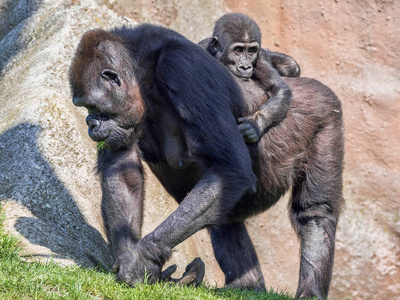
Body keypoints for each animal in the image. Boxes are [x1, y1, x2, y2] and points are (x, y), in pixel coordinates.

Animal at [69, 24, 344, 300]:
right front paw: (132, 258)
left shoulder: (183, 67)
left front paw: (141, 259)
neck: (144, 69)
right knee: (224, 217)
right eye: (85, 108)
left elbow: (229, 167)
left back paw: (310, 289)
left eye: (94, 107)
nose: (90, 124)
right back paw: (245, 285)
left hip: (325, 110)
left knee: (315, 212)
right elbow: (123, 171)